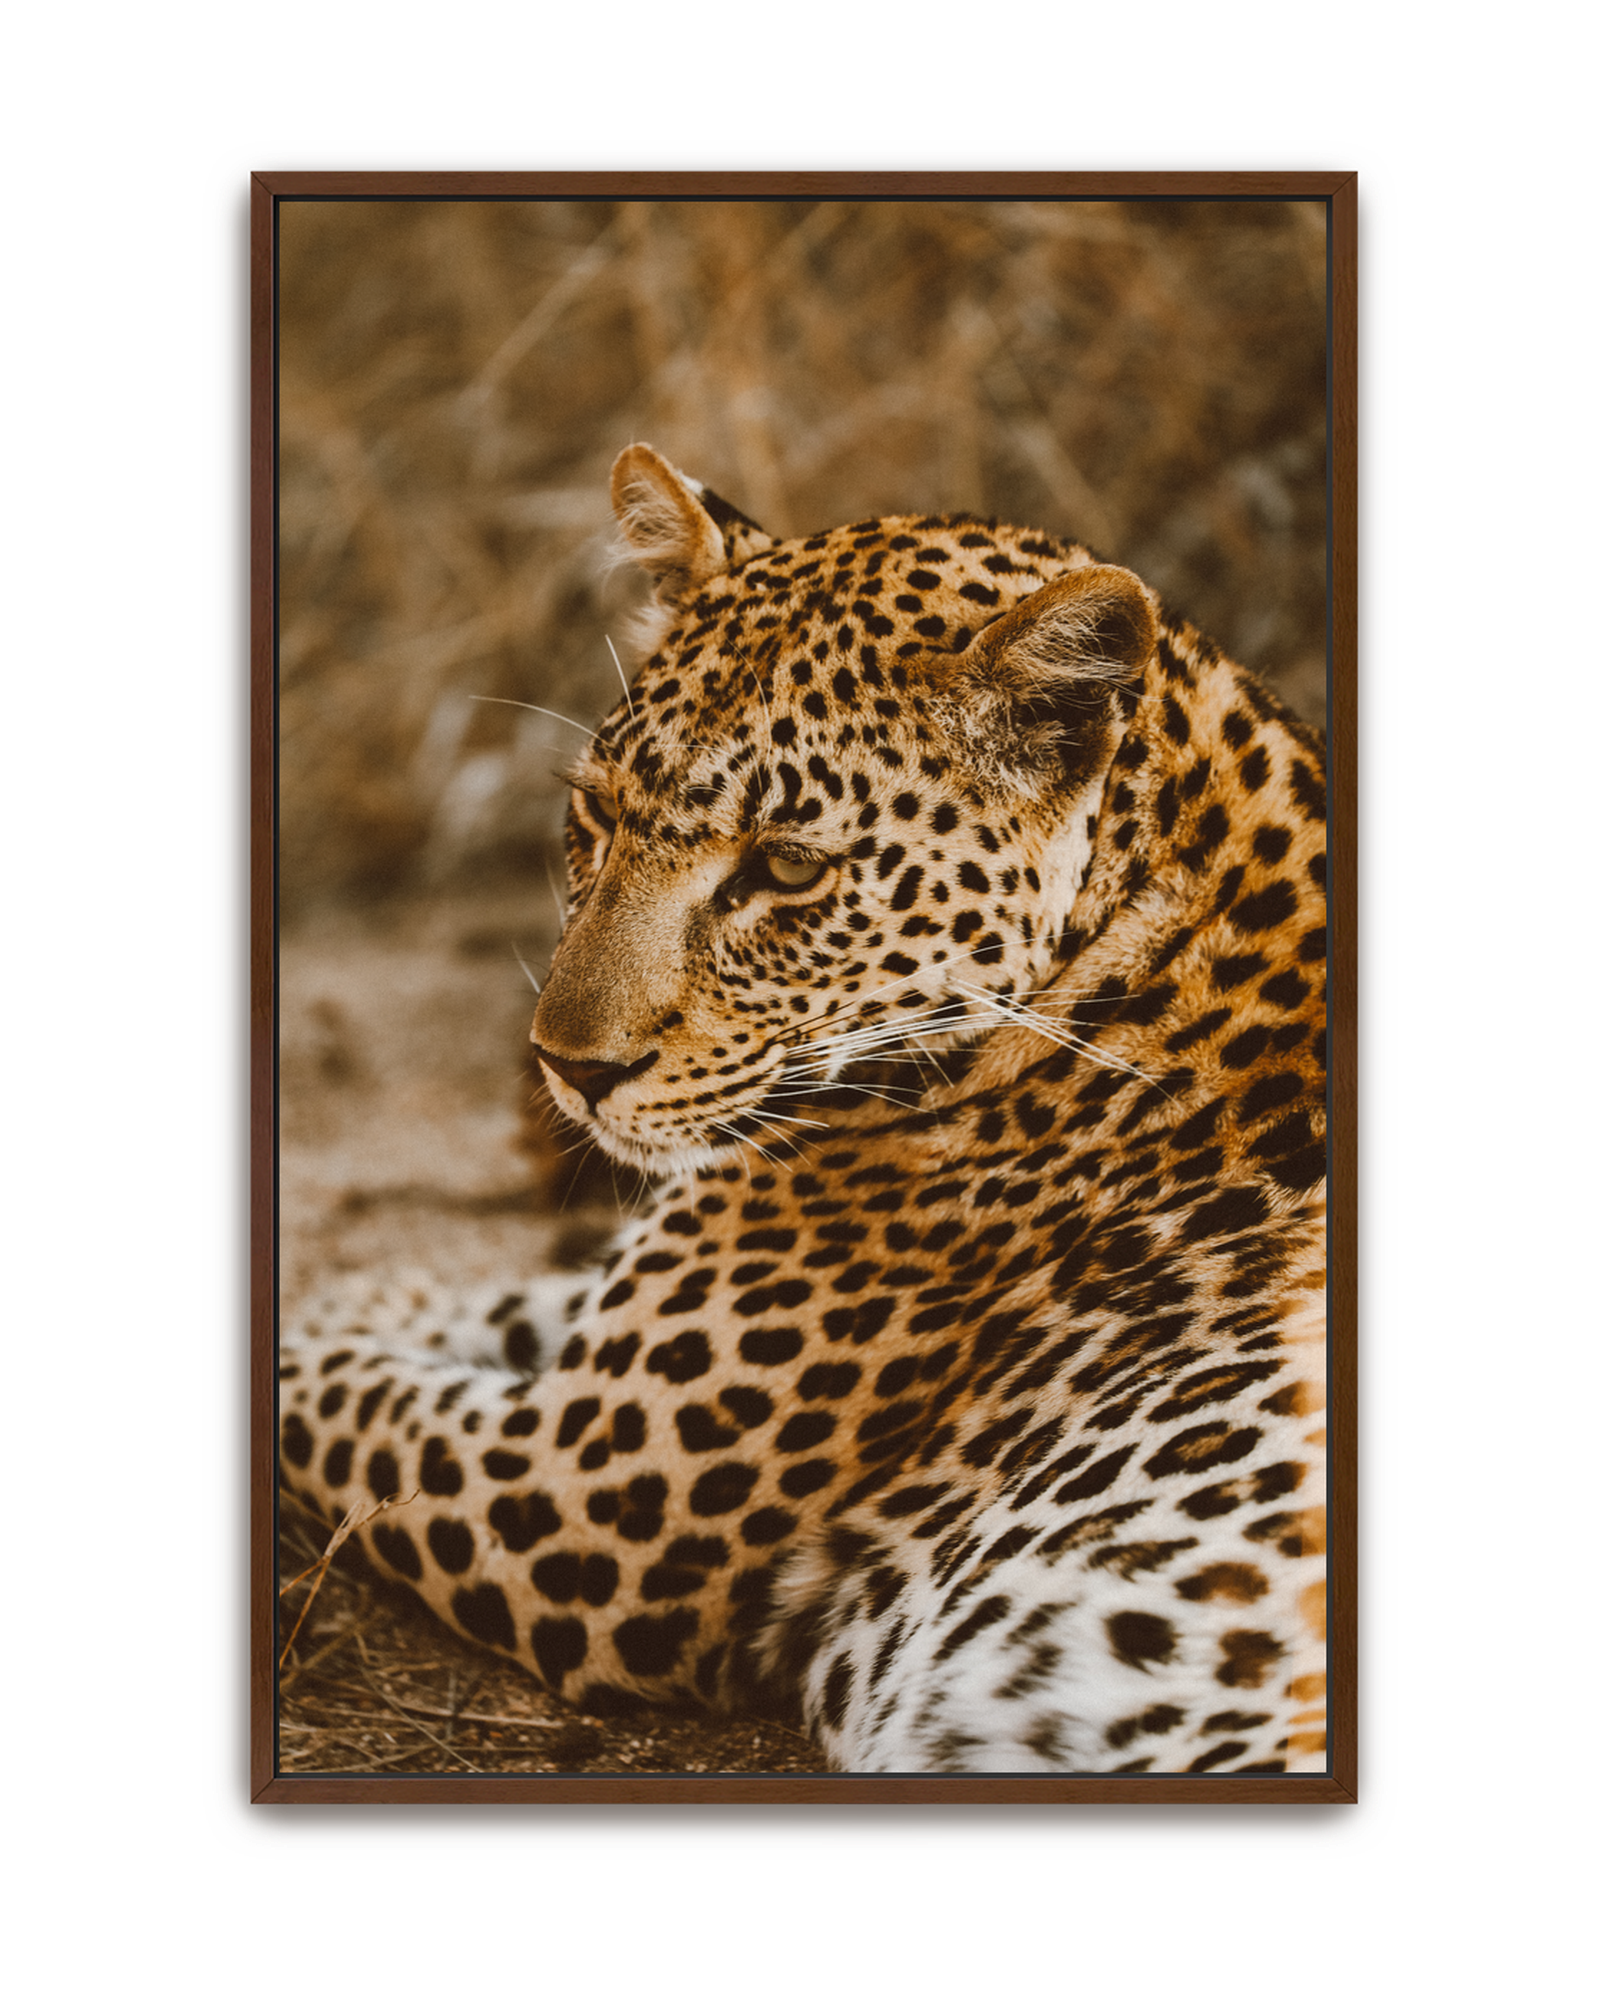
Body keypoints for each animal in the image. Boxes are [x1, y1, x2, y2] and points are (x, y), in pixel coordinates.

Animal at [280, 443, 1327, 1775]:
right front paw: (382, 1294)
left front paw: (337, 1314)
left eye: (783, 868)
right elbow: (505, 1301)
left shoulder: (565, 1493)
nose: (567, 1066)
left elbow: (329, 1395)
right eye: (599, 816)